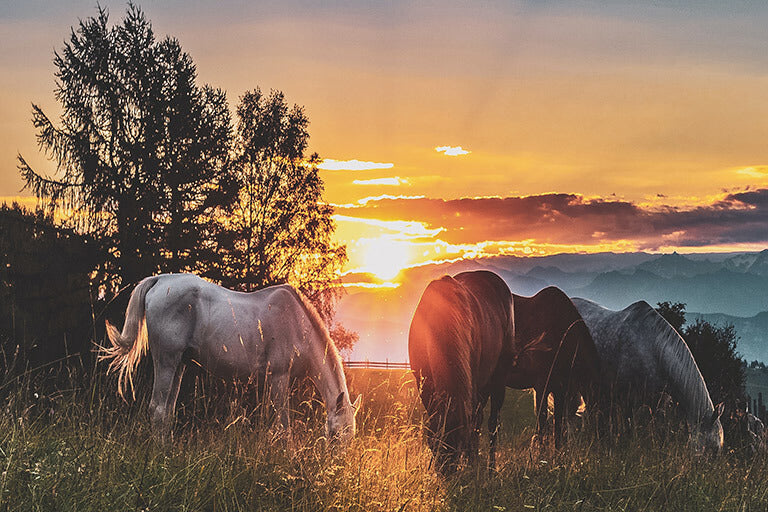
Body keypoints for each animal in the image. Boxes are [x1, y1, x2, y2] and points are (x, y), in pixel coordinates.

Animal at [100, 274, 362, 446]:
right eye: (336, 435)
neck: (298, 324)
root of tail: (160, 281)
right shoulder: (279, 377)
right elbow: (282, 425)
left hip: (179, 364)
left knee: (168, 412)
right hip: (166, 361)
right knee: (158, 409)